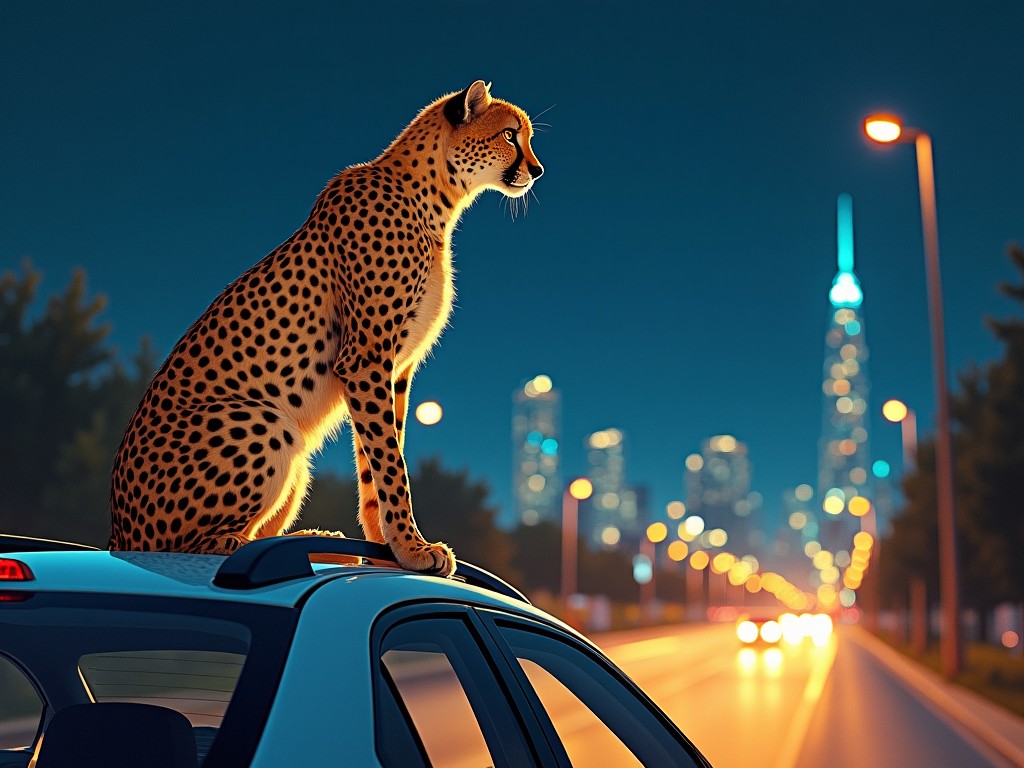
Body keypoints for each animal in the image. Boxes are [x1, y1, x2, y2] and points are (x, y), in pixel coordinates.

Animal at [109, 82, 544, 577]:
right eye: (510, 135)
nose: (537, 170)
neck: (434, 195)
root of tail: (119, 531)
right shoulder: (366, 358)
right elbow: (391, 465)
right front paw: (412, 548)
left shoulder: (394, 368)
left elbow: (379, 460)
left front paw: (388, 545)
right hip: (264, 421)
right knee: (191, 545)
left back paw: (319, 542)